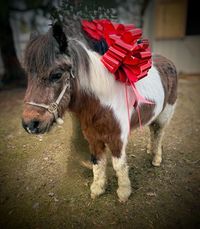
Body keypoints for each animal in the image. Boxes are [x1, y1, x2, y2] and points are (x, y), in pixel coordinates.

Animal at [21, 20, 177, 201]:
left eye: (57, 74)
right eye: (28, 75)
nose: (30, 124)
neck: (104, 101)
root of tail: (168, 61)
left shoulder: (118, 139)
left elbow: (119, 165)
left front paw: (124, 192)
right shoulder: (93, 138)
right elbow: (98, 162)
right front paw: (98, 188)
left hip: (165, 115)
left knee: (159, 133)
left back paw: (156, 158)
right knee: (153, 131)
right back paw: (149, 149)